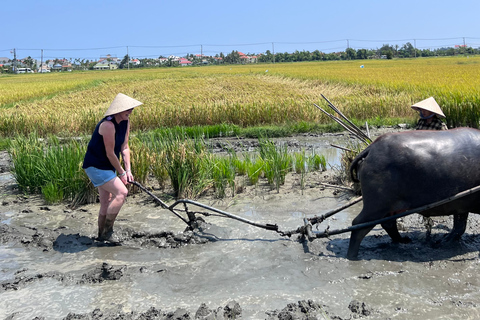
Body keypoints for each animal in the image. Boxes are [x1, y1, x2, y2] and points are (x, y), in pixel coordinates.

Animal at [346, 127, 480, 260]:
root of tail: (371, 148)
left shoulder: (461, 206)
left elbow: (459, 226)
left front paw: (445, 240)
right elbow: (459, 226)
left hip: (389, 207)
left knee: (388, 223)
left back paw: (403, 240)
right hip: (376, 206)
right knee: (358, 225)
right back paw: (352, 257)